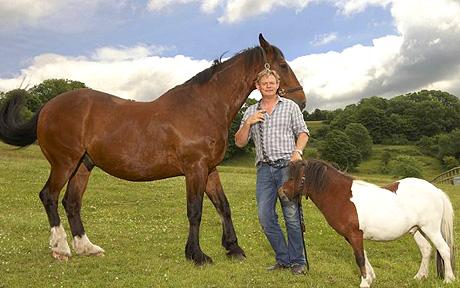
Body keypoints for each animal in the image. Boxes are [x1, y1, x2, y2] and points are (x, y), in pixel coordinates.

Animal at [0, 34, 310, 266]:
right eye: (282, 64)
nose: (302, 101)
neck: (204, 106)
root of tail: (48, 106)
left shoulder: (209, 170)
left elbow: (223, 206)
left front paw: (233, 248)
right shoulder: (195, 169)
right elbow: (195, 211)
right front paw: (197, 255)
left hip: (83, 166)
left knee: (71, 203)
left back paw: (87, 248)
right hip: (65, 163)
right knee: (49, 197)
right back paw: (61, 249)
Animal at [278, 160, 454, 288]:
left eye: (294, 177)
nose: (282, 192)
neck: (342, 197)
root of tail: (436, 190)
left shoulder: (355, 234)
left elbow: (360, 258)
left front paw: (364, 282)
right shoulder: (351, 236)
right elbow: (363, 254)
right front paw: (370, 278)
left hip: (430, 229)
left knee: (444, 249)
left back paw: (449, 279)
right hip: (416, 230)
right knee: (426, 250)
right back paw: (419, 277)